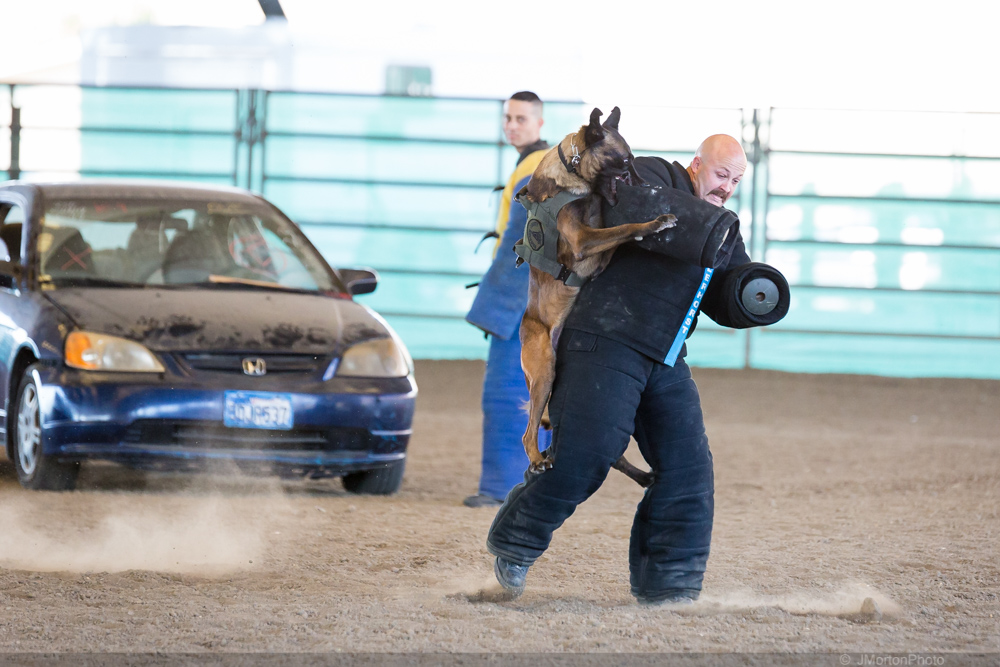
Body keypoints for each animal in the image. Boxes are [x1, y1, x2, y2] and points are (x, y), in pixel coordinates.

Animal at [517, 107, 675, 487]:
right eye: (624, 162)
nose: (651, 188)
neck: (571, 170)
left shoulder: (593, 233)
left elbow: (614, 232)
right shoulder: (581, 240)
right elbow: (624, 229)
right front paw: (654, 223)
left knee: (610, 454)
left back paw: (642, 476)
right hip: (544, 371)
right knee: (528, 433)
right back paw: (538, 460)